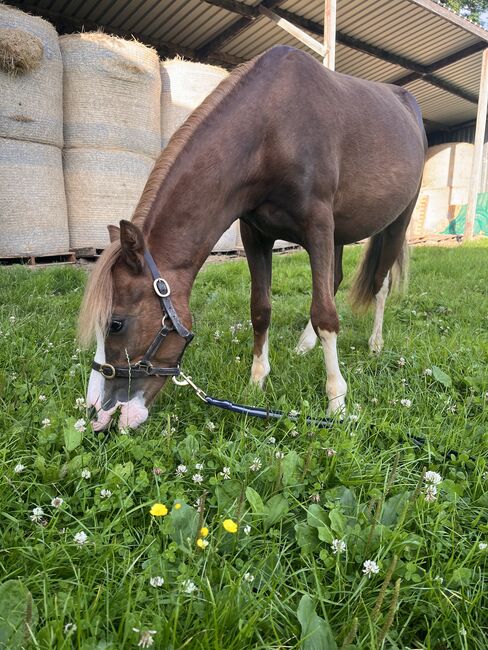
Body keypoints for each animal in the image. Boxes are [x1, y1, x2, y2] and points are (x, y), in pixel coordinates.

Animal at [77, 45, 428, 430]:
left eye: (116, 324)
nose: (97, 412)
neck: (271, 130)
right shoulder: (256, 235)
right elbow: (261, 309)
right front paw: (256, 382)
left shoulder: (318, 226)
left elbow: (325, 315)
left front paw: (337, 402)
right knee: (335, 279)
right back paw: (305, 345)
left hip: (395, 222)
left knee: (380, 283)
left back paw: (375, 344)